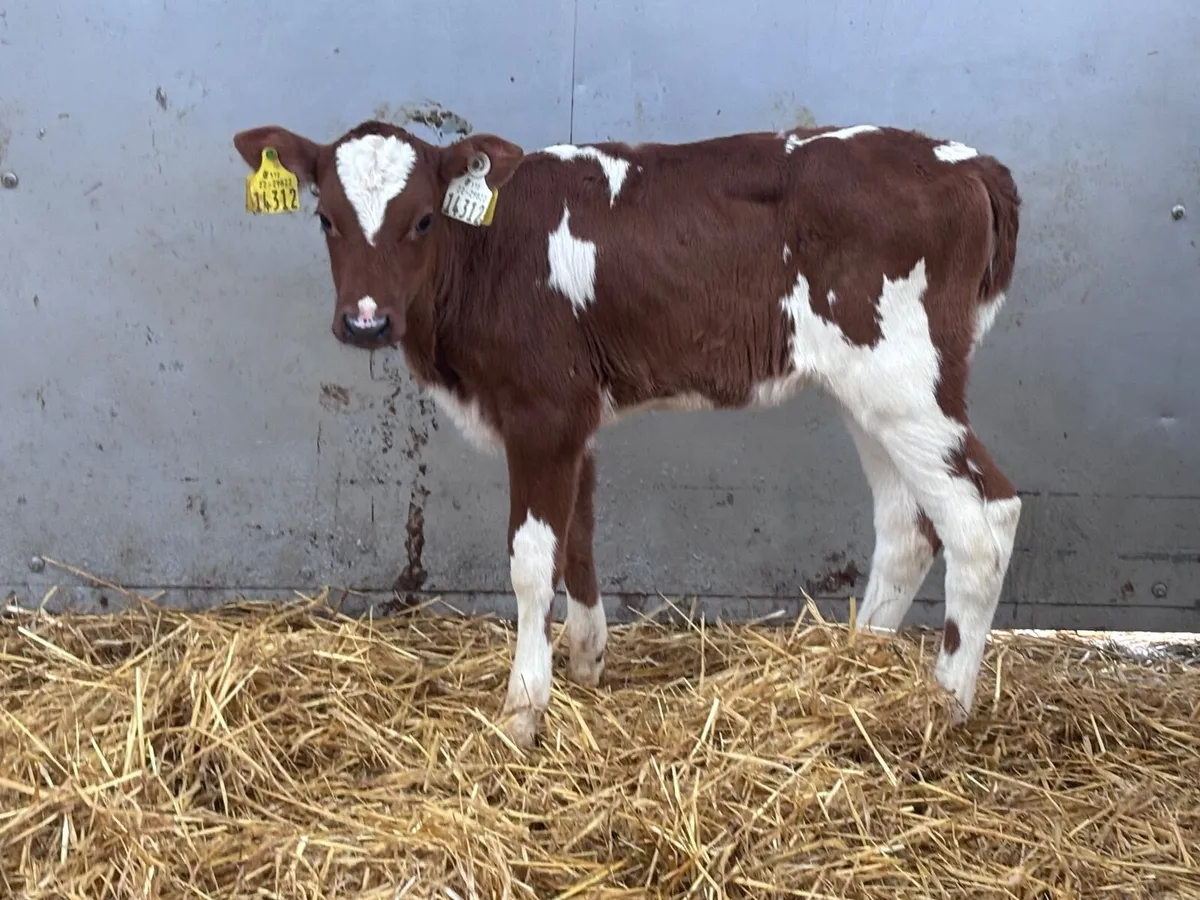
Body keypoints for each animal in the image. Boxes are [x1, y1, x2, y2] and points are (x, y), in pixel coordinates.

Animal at [232, 117, 1022, 749]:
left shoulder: (542, 411)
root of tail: (967, 160)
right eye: (325, 218)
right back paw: (853, 669)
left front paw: (523, 711)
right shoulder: (575, 415)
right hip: (867, 392)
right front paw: (587, 662)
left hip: (907, 379)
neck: (488, 253)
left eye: (424, 219)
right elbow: (578, 537)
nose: (366, 321)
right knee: (906, 526)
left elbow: (531, 561)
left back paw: (945, 706)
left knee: (983, 518)